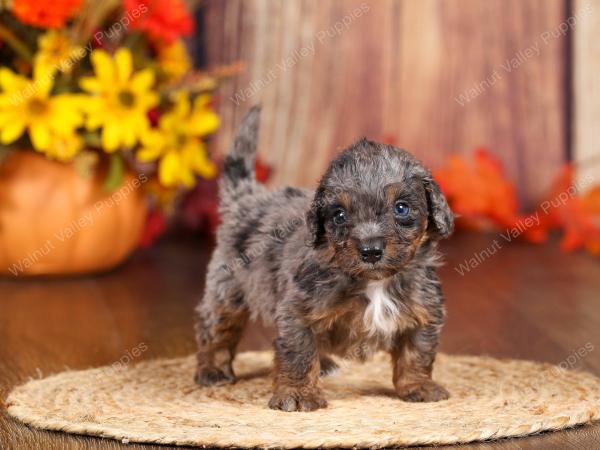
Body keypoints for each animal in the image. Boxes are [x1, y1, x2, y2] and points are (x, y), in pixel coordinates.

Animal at [195, 105, 452, 412]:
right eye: (339, 215)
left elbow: (418, 350)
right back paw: (212, 368)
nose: (370, 250)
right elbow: (299, 352)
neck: (373, 282)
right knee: (217, 330)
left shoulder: (423, 309)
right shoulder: (297, 311)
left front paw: (418, 385)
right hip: (226, 291)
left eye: (401, 208)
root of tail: (248, 200)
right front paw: (298, 393)